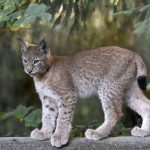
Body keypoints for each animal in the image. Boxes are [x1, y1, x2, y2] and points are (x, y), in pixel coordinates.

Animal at [18, 37, 150, 148]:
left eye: (36, 61)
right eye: (25, 60)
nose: (29, 70)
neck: (41, 76)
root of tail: (132, 52)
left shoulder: (67, 94)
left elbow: (63, 117)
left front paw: (59, 136)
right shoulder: (47, 98)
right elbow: (47, 116)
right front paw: (44, 133)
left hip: (107, 87)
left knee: (115, 114)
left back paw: (98, 132)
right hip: (129, 89)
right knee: (146, 106)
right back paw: (144, 131)